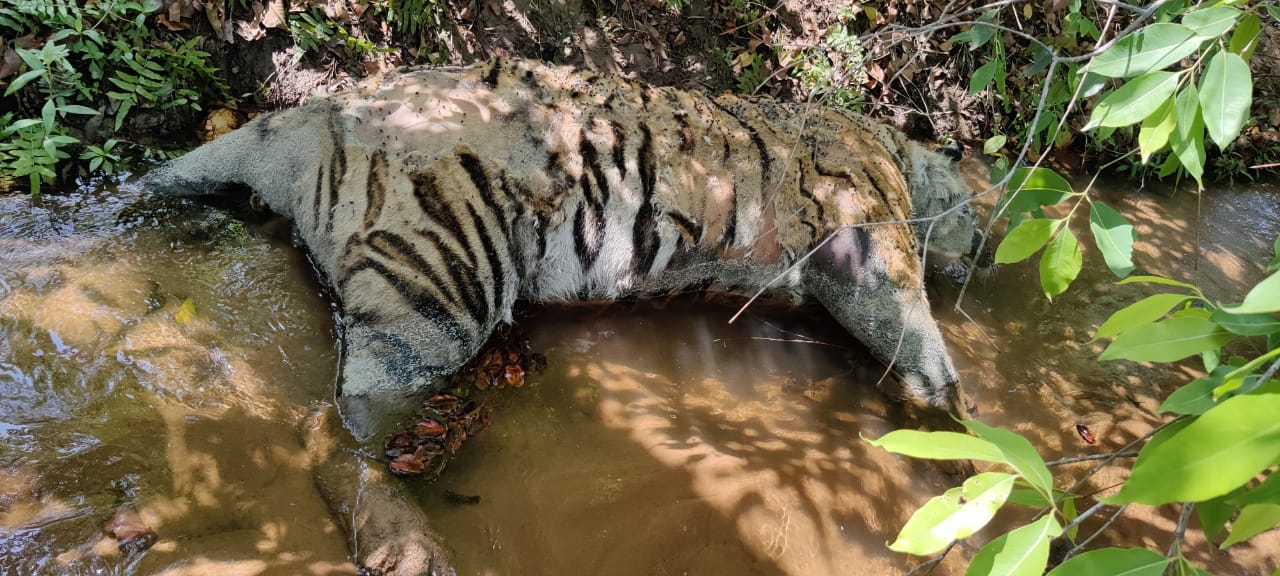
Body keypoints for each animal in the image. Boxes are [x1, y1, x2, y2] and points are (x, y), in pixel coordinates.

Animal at [143, 57, 981, 436]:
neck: (898, 154)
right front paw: (958, 416)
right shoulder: (866, 237)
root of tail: (323, 115)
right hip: (437, 288)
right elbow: (909, 324)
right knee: (361, 403)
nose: (979, 255)